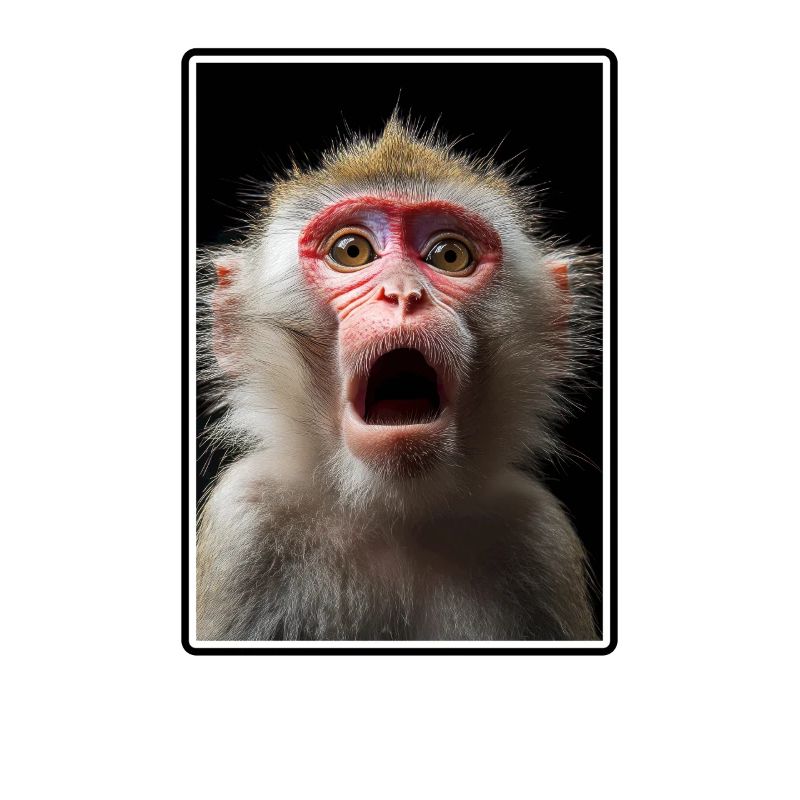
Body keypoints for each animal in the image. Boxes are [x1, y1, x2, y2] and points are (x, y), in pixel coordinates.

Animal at [196, 114, 600, 641]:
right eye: (352, 251)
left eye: (449, 256)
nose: (404, 293)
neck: (392, 512)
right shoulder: (245, 520)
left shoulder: (538, 536)